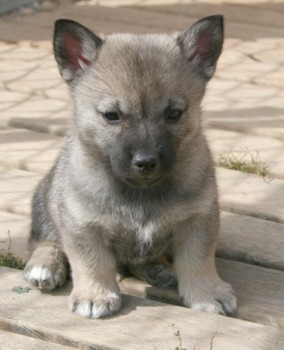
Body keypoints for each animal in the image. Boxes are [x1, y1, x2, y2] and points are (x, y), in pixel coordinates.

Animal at [23, 15, 237, 318]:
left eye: (174, 114)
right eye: (112, 116)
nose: (146, 161)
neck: (140, 190)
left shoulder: (198, 219)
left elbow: (198, 259)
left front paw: (207, 292)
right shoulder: (82, 225)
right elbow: (92, 262)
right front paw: (95, 295)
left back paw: (157, 269)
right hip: (46, 200)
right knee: (44, 239)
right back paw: (44, 265)